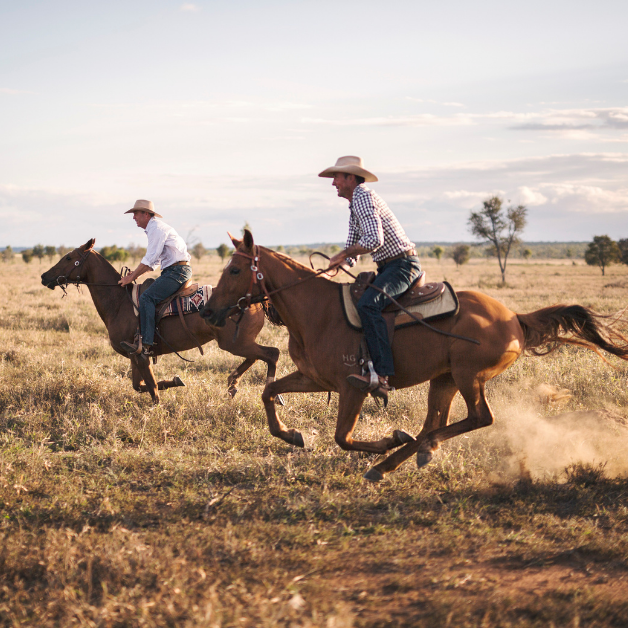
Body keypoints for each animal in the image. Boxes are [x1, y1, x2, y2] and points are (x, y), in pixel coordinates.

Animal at [40, 238, 280, 404]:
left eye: (69, 258)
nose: (44, 276)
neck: (119, 302)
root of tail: (254, 299)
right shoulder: (135, 355)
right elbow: (140, 385)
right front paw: (175, 381)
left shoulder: (141, 354)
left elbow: (151, 386)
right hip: (239, 342)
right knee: (257, 356)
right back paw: (232, 383)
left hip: (234, 343)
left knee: (271, 354)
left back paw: (271, 394)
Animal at [201, 231, 628, 480]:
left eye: (235, 269)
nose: (208, 311)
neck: (316, 312)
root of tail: (513, 318)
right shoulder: (313, 378)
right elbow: (268, 393)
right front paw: (292, 434)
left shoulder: (353, 387)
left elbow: (343, 437)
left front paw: (385, 441)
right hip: (444, 379)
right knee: (434, 423)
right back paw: (405, 456)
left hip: (468, 376)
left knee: (478, 418)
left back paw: (398, 455)